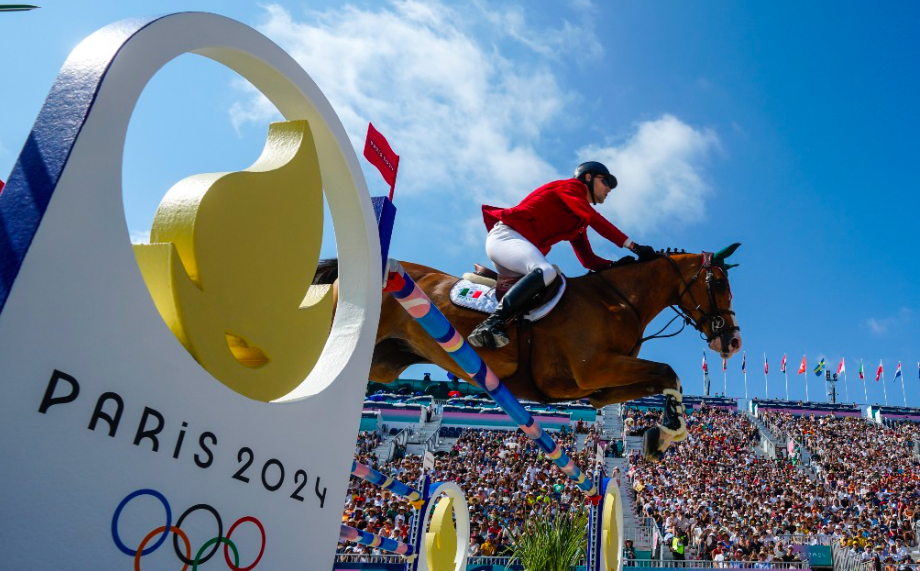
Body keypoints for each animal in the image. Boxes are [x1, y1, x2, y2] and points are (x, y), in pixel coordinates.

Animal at [316, 246, 740, 460]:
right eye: (719, 282)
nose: (732, 342)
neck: (619, 300)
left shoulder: (598, 389)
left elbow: (663, 378)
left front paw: (662, 434)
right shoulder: (595, 369)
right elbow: (668, 370)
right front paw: (667, 432)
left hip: (385, 360)